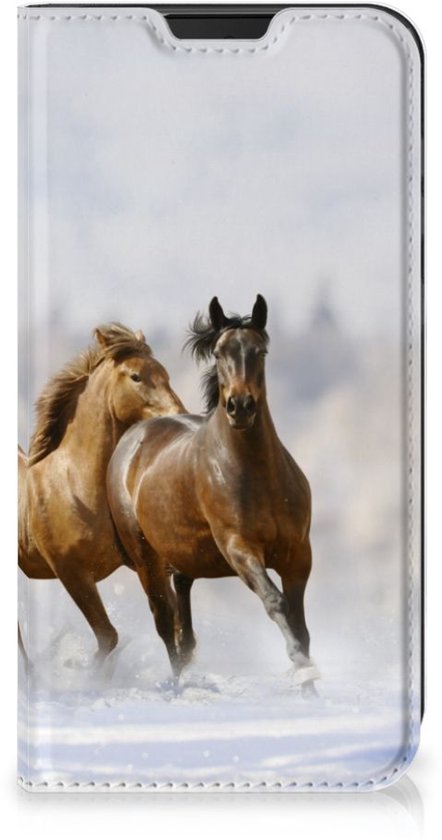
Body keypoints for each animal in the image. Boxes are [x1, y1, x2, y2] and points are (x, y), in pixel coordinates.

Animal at [18, 323, 184, 665]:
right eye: (136, 376)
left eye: (165, 373)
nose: (178, 413)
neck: (74, 486)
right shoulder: (72, 573)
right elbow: (108, 637)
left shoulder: (146, 563)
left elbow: (169, 622)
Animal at [107, 297, 319, 692]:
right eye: (219, 353)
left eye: (260, 351)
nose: (240, 406)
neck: (258, 476)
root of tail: (133, 437)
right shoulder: (239, 548)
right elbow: (275, 602)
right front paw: (301, 668)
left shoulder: (298, 555)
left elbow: (300, 624)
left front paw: (310, 686)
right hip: (145, 558)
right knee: (165, 622)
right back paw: (177, 686)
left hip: (183, 556)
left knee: (183, 619)